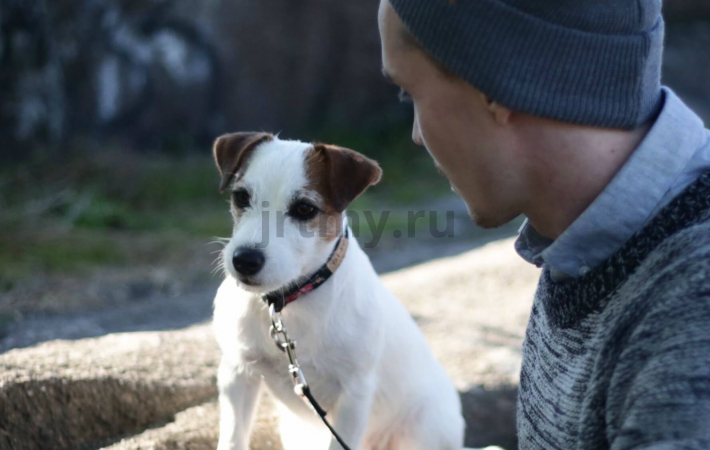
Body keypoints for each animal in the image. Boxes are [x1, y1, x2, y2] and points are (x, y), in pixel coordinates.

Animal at [211, 132, 468, 448]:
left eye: (305, 209)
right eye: (241, 197)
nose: (245, 260)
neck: (290, 303)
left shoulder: (353, 397)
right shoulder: (237, 373)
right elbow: (233, 438)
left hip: (423, 430)